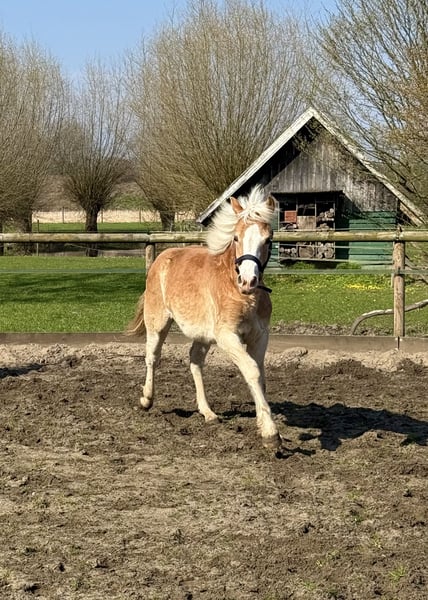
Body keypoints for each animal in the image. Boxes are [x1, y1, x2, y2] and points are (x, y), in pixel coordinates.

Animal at [128, 185, 281, 450]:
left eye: (268, 239)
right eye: (236, 238)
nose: (248, 281)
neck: (239, 293)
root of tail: (162, 258)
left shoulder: (260, 336)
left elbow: (260, 376)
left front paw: (264, 425)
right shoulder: (227, 336)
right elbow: (251, 370)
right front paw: (272, 434)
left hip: (202, 334)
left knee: (195, 361)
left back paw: (208, 412)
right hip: (158, 323)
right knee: (152, 358)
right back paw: (147, 399)